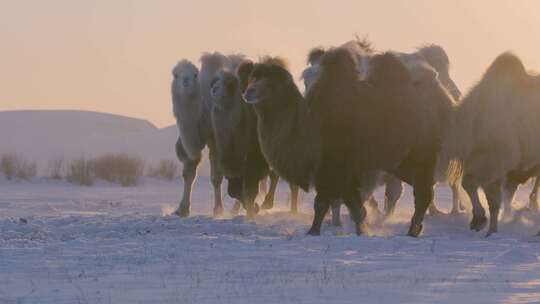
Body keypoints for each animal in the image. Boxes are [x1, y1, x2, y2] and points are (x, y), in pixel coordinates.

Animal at [244, 48, 452, 236]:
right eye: (254, 79)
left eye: (271, 84)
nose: (248, 92)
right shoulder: (344, 172)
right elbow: (352, 204)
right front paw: (360, 229)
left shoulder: (334, 167)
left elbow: (323, 203)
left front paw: (313, 231)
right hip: (400, 164)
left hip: (420, 157)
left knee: (423, 192)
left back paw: (413, 229)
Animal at [446, 53, 540, 236]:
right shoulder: (491, 164)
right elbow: (492, 200)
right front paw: (490, 230)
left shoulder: (499, 160)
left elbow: (471, 184)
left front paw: (480, 220)